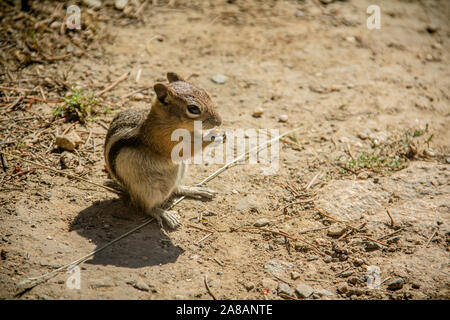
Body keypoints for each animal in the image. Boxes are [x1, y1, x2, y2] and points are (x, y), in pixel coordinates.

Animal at [106, 72, 225, 228]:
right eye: (193, 109)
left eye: (206, 93)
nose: (219, 121)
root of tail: (129, 192)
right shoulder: (163, 141)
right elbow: (185, 150)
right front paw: (213, 137)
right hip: (148, 189)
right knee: (145, 206)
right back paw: (164, 214)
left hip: (180, 170)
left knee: (176, 189)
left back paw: (194, 189)